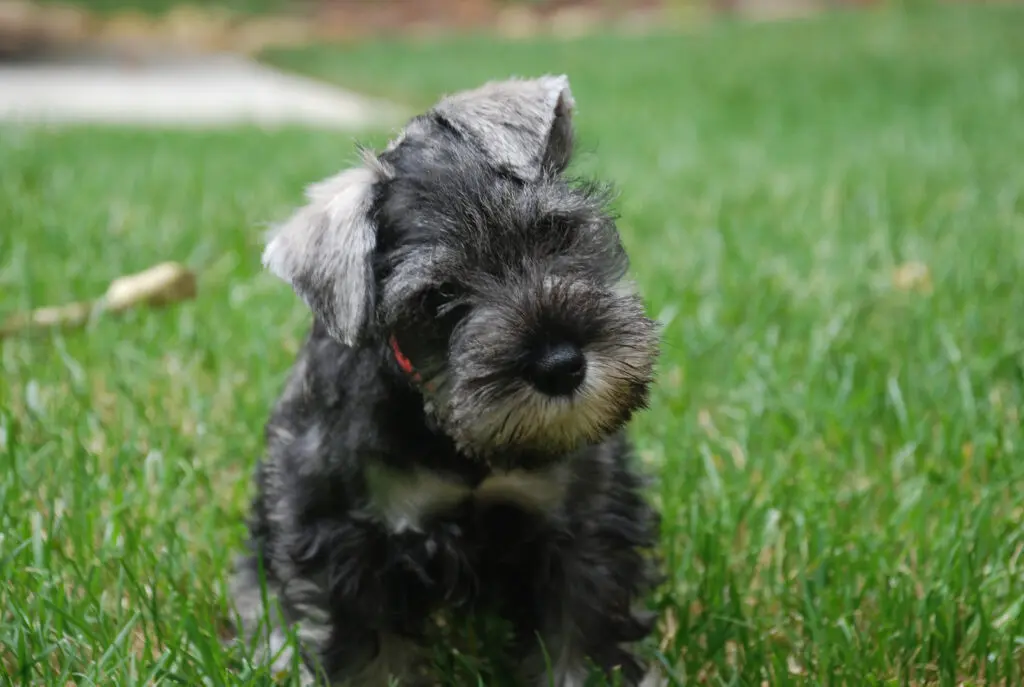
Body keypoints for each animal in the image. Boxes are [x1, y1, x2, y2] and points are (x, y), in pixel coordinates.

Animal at [230, 75, 663, 687]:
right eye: (438, 296)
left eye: (556, 231)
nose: (561, 365)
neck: (453, 437)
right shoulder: (345, 543)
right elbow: (370, 657)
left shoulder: (585, 523)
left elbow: (578, 639)